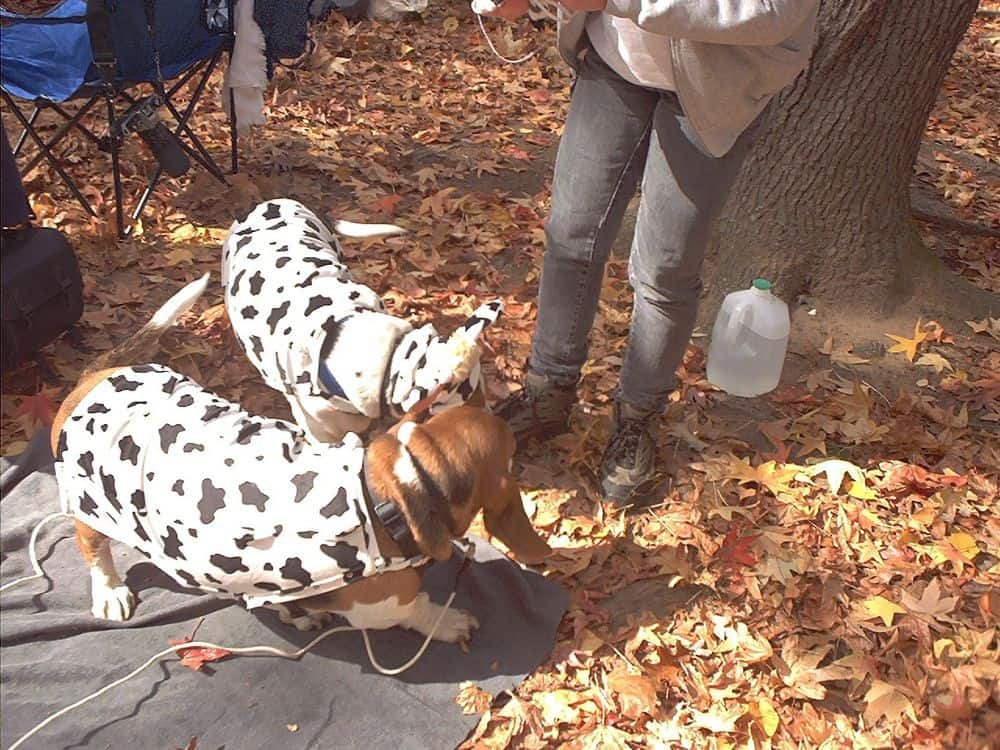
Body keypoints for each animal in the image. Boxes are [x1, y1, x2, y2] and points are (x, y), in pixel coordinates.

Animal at [50, 280, 552, 644]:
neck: (393, 489)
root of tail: (95, 377)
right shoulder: (384, 604)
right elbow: (416, 609)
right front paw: (448, 624)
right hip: (91, 511)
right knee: (93, 548)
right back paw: (110, 591)